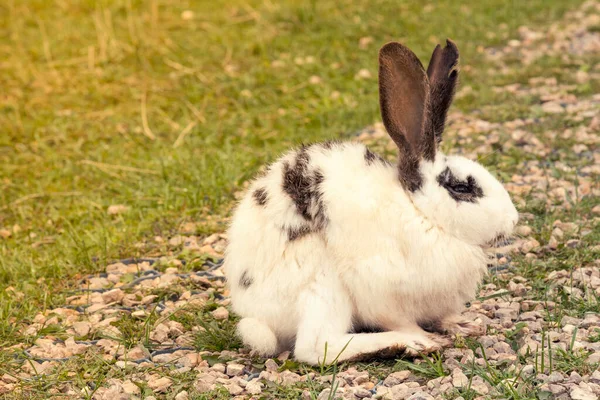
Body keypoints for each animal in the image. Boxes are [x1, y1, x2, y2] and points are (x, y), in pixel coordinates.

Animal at [223, 39, 516, 364]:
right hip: (321, 285)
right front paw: (424, 339)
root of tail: (255, 314)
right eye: (462, 187)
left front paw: (462, 325)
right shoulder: (379, 289)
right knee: (316, 347)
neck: (421, 213)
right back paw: (402, 344)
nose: (513, 221)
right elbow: (397, 318)